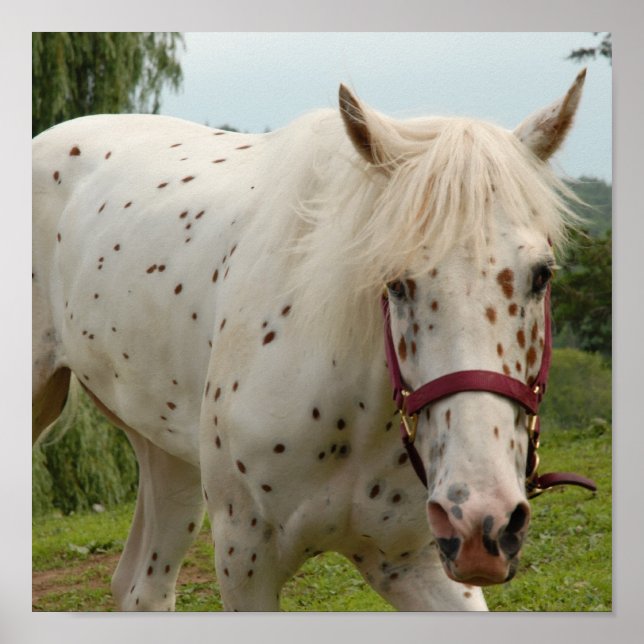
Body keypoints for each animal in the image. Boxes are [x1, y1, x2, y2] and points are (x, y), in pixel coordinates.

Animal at [33, 69, 589, 611]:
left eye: (542, 275)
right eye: (394, 283)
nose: (480, 521)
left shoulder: (415, 564)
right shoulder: (245, 561)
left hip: (166, 452)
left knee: (140, 588)